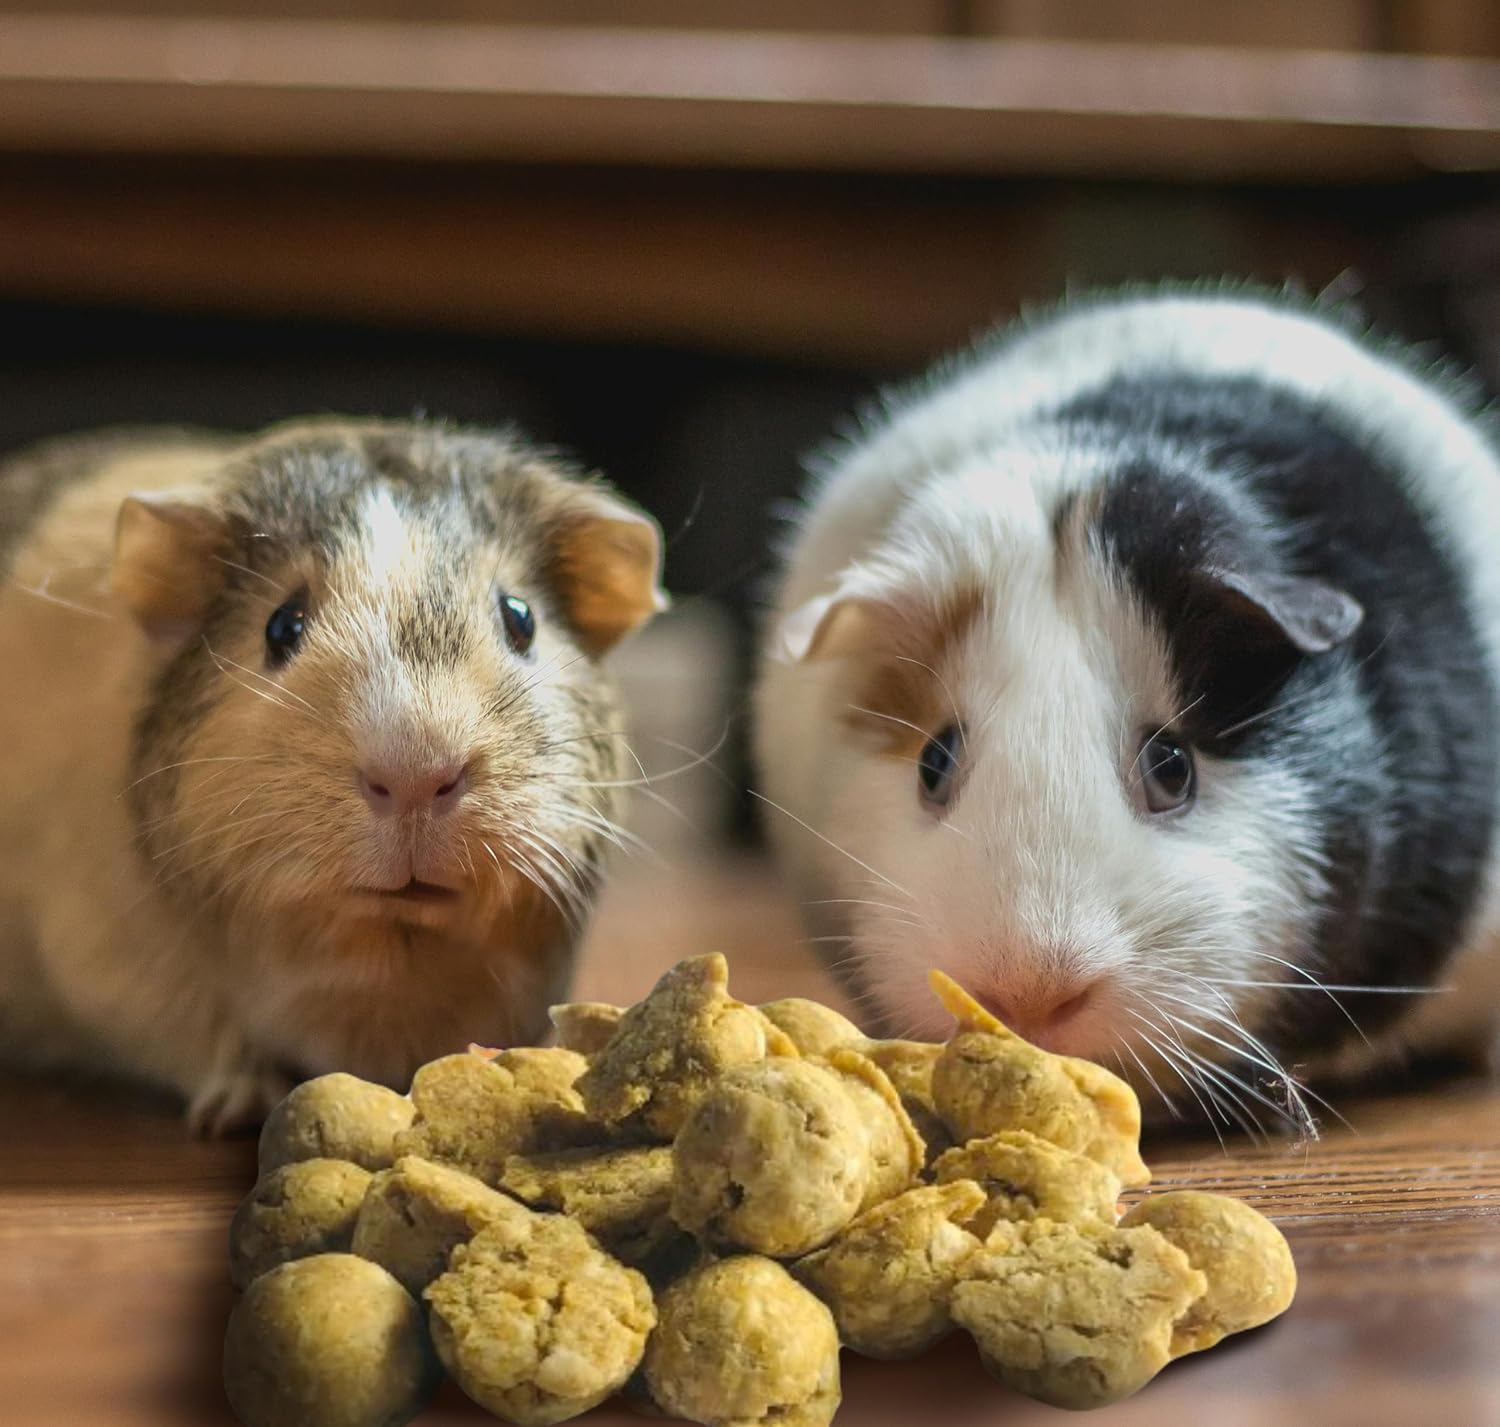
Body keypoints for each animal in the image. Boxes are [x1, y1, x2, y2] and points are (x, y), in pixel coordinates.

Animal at [0, 418, 665, 1133]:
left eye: (520, 619)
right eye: (281, 626)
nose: (414, 774)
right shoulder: (113, 974)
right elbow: (204, 1041)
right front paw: (238, 1107)